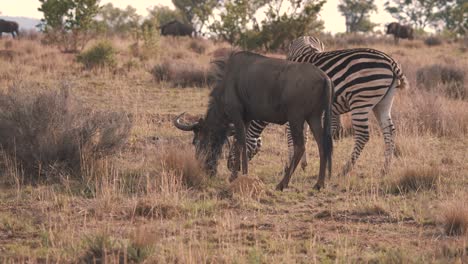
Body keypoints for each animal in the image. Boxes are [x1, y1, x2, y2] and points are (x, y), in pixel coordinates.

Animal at [174, 51, 334, 192]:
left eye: (197, 142)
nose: (205, 169)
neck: (227, 82)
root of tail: (324, 77)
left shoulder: (237, 116)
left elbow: (242, 144)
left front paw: (242, 174)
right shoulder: (246, 119)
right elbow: (239, 144)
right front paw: (234, 176)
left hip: (296, 119)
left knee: (300, 147)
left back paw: (282, 184)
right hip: (314, 118)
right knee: (322, 145)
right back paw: (319, 184)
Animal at [229, 35, 408, 177]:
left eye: (234, 143)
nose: (230, 167)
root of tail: (391, 61)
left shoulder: (291, 111)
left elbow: (291, 136)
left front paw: (289, 165)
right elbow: (304, 135)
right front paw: (302, 165)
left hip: (361, 99)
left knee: (363, 135)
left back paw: (345, 169)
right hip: (383, 102)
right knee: (389, 131)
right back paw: (385, 169)